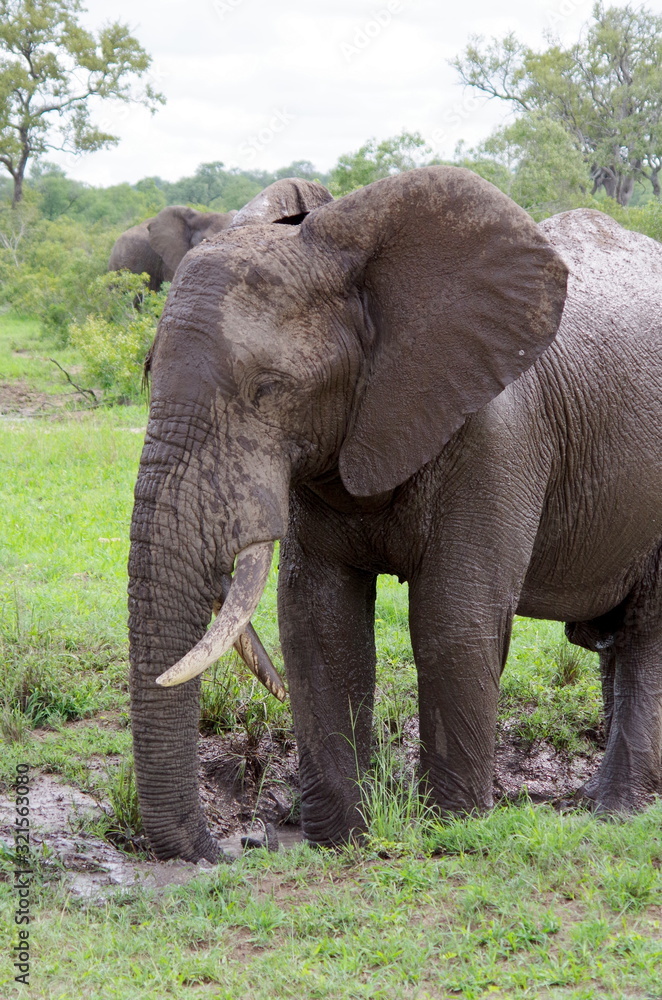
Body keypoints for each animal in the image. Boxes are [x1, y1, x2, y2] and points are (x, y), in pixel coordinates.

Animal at [128, 164, 662, 860]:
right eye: (147, 370)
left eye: (269, 389)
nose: (225, 849)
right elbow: (317, 620)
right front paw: (340, 843)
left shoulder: (500, 437)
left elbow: (453, 620)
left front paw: (452, 830)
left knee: (648, 633)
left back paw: (615, 811)